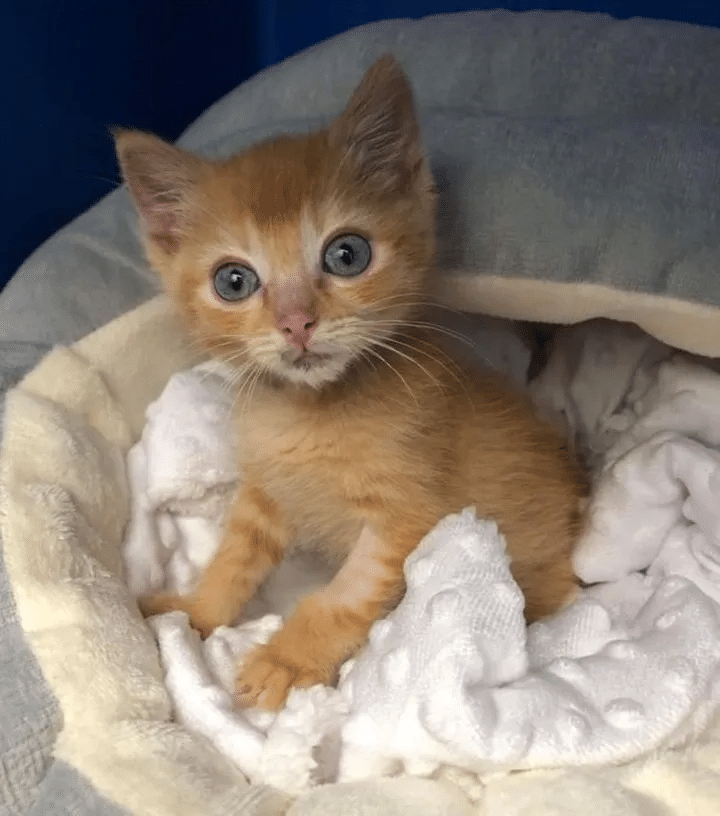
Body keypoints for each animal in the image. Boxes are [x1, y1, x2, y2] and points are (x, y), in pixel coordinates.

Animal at [116, 54, 584, 712]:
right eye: (233, 281)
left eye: (347, 255)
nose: (296, 322)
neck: (312, 411)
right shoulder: (265, 494)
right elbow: (231, 560)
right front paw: (195, 614)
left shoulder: (403, 516)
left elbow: (341, 599)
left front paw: (286, 661)